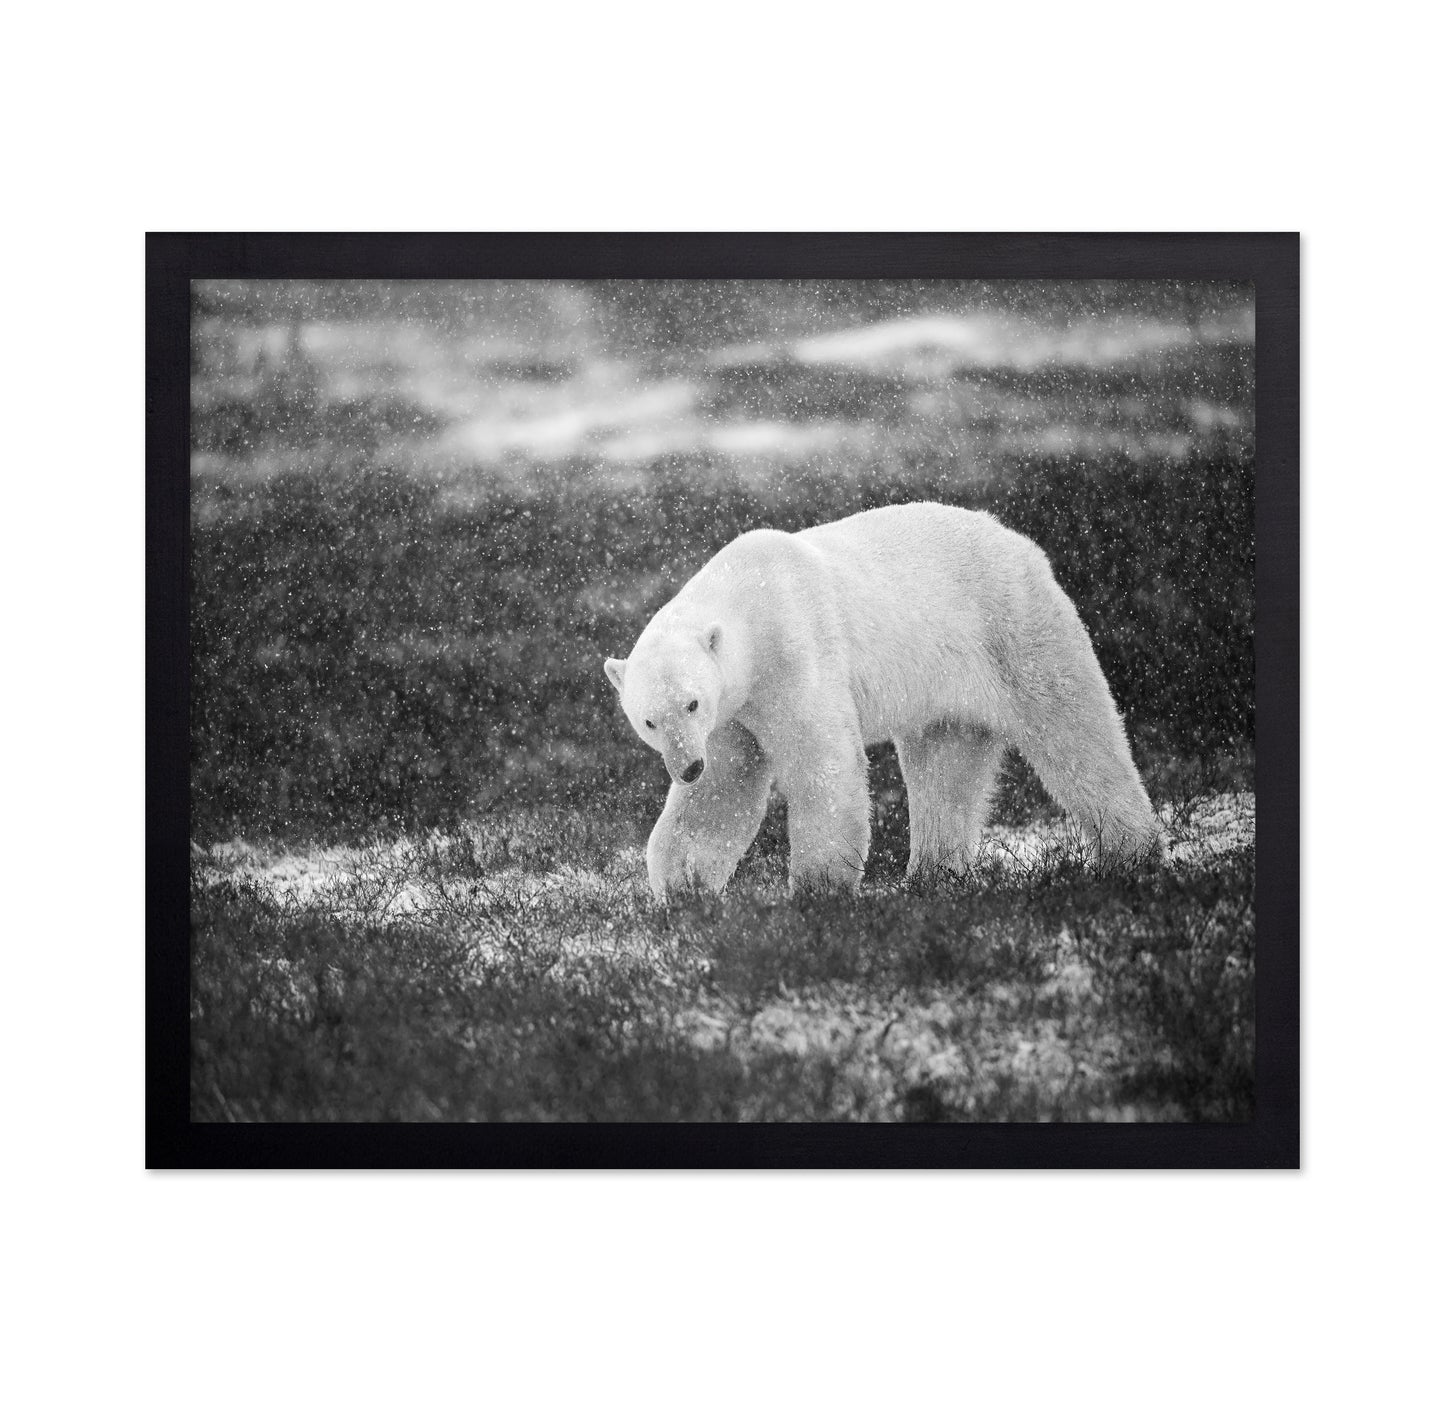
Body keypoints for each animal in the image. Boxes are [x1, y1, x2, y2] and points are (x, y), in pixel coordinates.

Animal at [603, 501, 1160, 899]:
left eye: (691, 704)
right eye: (649, 721)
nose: (686, 767)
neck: (748, 601)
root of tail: (1020, 542)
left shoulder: (794, 653)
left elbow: (822, 762)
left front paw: (819, 890)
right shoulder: (733, 716)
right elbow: (722, 792)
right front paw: (682, 888)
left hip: (1014, 629)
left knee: (1074, 731)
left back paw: (1131, 853)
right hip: (945, 686)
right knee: (947, 768)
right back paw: (932, 876)